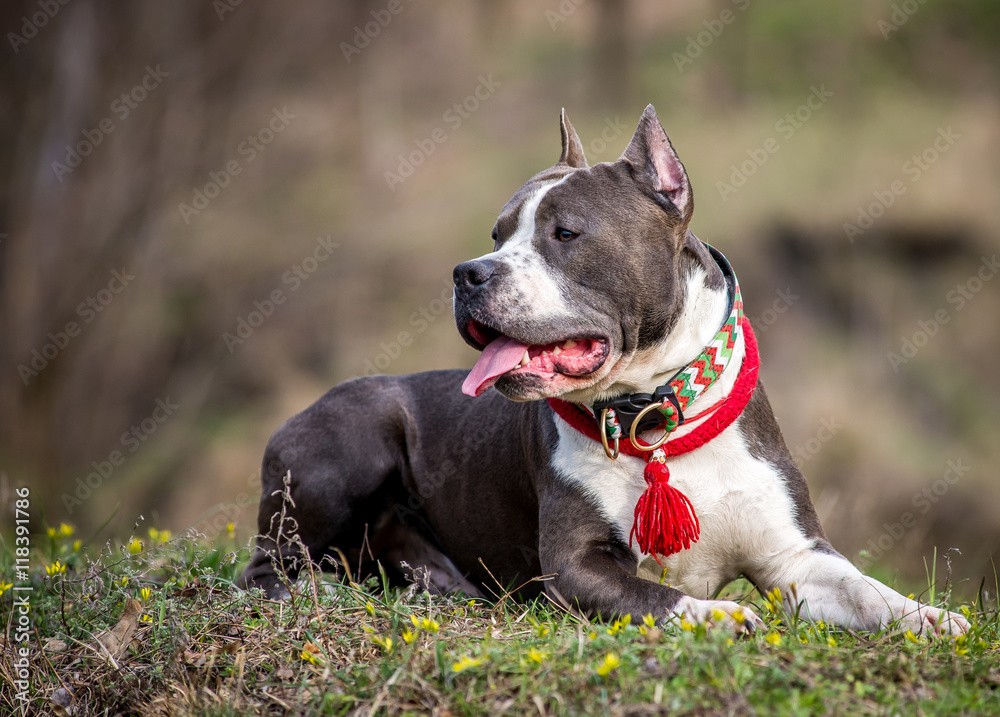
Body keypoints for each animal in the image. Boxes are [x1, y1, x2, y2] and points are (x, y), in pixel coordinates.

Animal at [240, 103, 968, 636]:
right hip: (353, 438)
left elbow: (864, 590)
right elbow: (656, 596)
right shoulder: (576, 565)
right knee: (267, 567)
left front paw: (931, 617)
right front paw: (719, 613)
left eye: (565, 234)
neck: (657, 414)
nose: (468, 273)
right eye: (498, 234)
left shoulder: (796, 557)